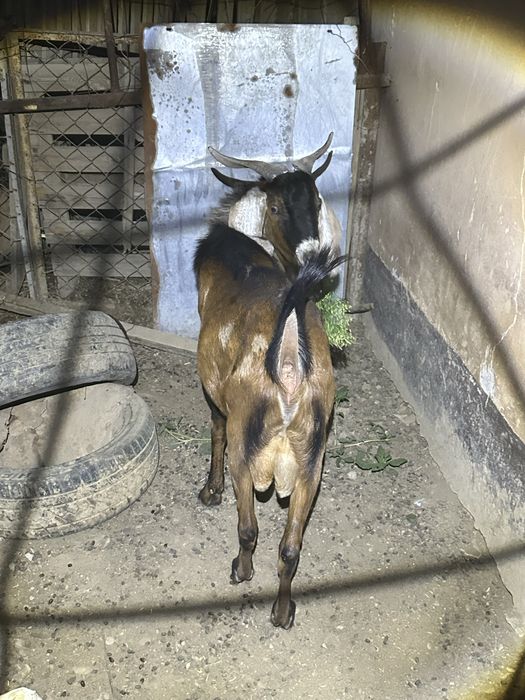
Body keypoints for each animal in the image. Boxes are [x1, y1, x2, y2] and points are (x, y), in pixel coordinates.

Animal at [194, 140, 344, 628]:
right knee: (290, 547)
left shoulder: (214, 392)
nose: (315, 251)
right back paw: (282, 611)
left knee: (249, 528)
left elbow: (215, 429)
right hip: (310, 464)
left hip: (249, 453)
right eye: (277, 205)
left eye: (315, 201)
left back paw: (241, 571)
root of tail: (290, 375)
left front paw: (209, 492)